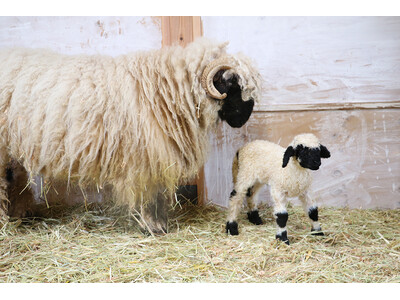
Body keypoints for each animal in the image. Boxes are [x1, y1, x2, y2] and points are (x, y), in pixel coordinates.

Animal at [0, 37, 262, 233]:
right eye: (232, 85)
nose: (246, 117)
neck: (167, 88)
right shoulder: (143, 159)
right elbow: (148, 194)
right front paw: (153, 227)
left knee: (14, 176)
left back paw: (20, 214)